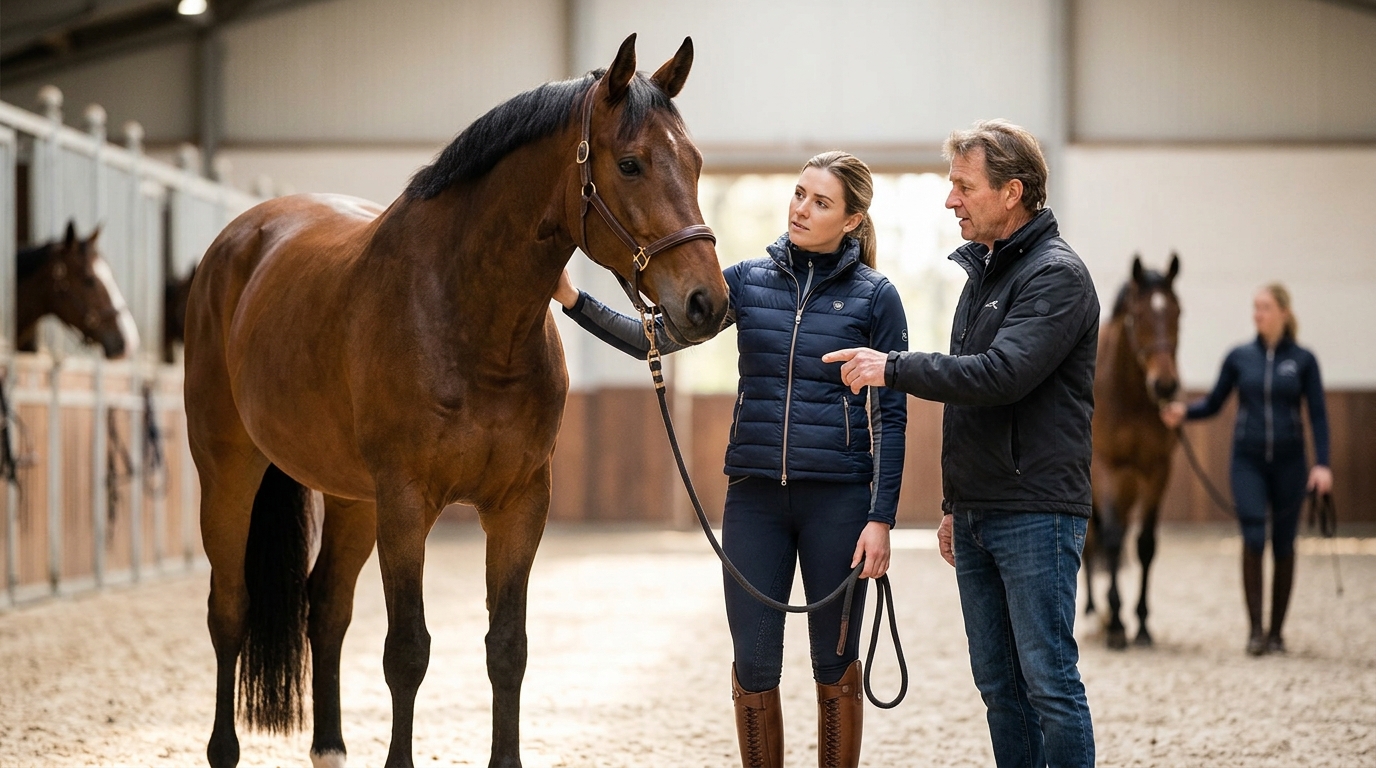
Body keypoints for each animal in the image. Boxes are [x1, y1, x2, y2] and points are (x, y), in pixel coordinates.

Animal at [184, 34, 728, 768]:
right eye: (631, 163)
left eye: (695, 164)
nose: (707, 304)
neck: (467, 314)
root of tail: (240, 238)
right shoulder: (408, 503)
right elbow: (407, 652)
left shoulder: (521, 504)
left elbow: (508, 649)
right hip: (229, 469)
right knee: (230, 607)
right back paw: (224, 748)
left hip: (354, 498)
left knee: (326, 607)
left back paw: (330, 747)